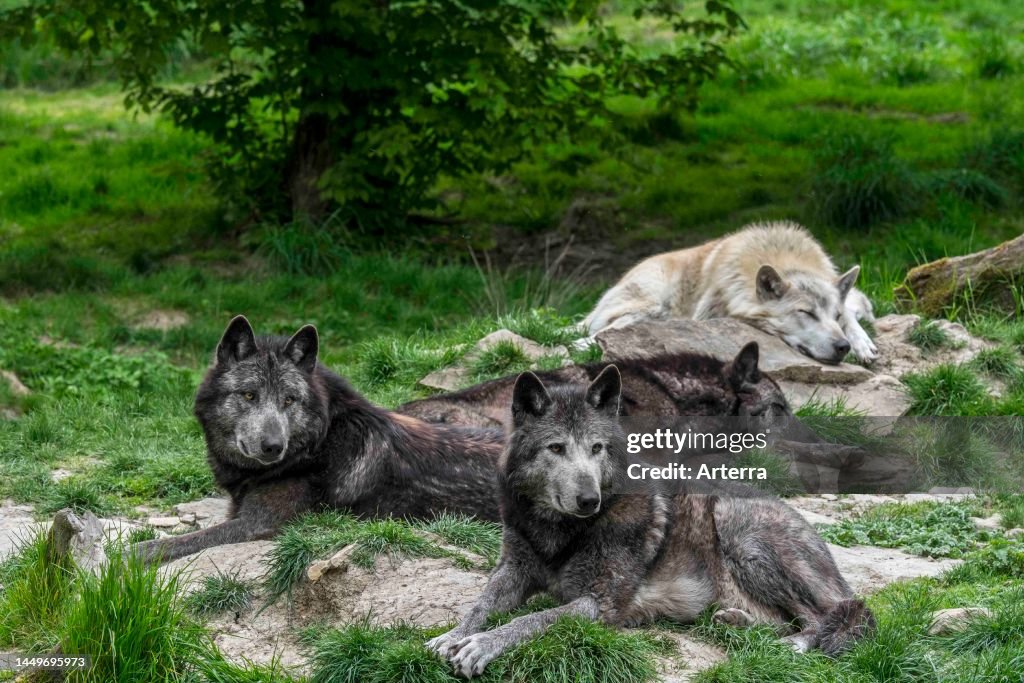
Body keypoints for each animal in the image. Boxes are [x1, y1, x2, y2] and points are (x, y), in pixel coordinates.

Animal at [135, 316, 503, 564]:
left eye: (289, 400)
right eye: (249, 395)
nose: (273, 447)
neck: (316, 445)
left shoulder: (256, 525)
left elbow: (174, 542)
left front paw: (128, 554)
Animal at [427, 369, 874, 678]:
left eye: (597, 448)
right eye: (556, 448)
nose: (589, 500)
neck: (561, 530)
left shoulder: (600, 604)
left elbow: (531, 620)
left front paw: (481, 645)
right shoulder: (513, 570)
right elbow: (481, 603)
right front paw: (450, 636)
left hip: (740, 531)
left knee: (836, 613)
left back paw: (792, 646)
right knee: (788, 617)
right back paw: (740, 622)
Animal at [583, 221, 878, 364]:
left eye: (835, 316)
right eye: (806, 313)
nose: (842, 347)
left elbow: (854, 316)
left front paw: (862, 344)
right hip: (653, 306)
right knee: (597, 333)